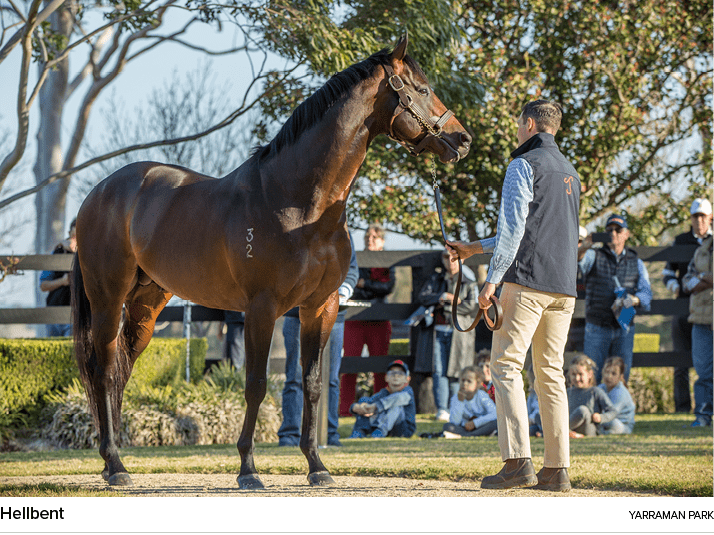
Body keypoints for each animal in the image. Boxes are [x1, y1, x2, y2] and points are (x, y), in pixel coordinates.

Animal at [72, 35, 470, 490]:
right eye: (421, 89)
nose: (462, 139)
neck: (298, 203)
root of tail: (100, 192)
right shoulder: (262, 309)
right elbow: (257, 385)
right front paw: (248, 469)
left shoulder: (321, 307)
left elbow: (312, 385)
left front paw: (317, 466)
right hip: (107, 299)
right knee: (103, 370)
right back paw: (115, 463)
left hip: (147, 304)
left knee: (122, 366)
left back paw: (113, 462)